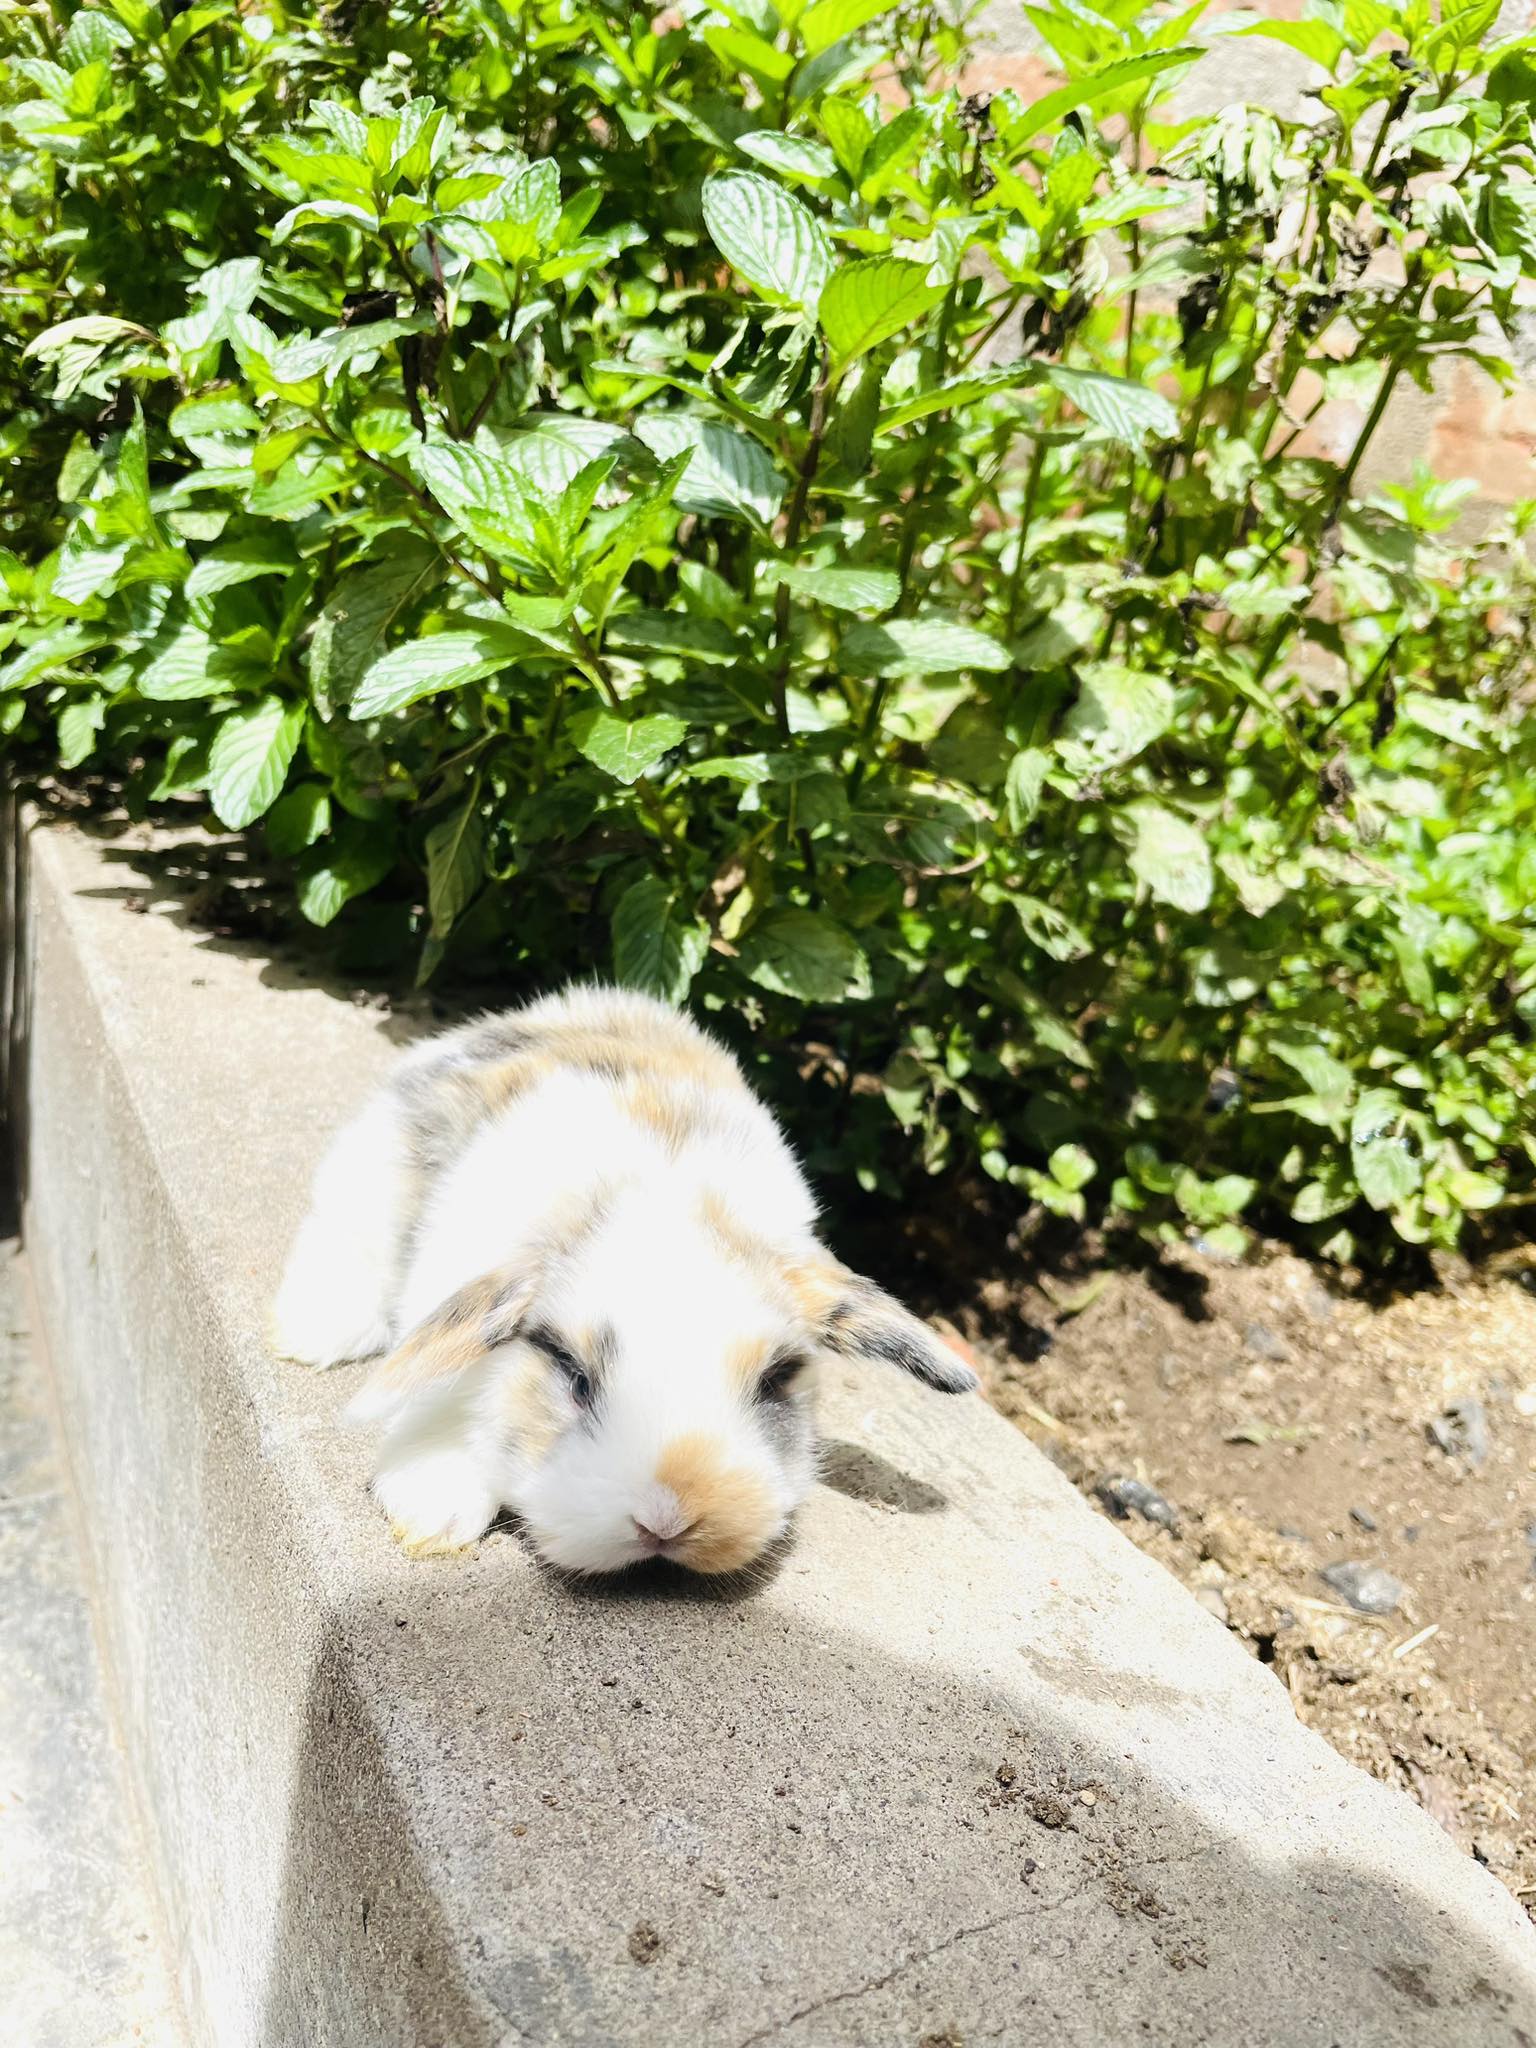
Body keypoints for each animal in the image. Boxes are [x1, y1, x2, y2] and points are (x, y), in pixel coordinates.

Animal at [272, 984, 977, 1575]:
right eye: (575, 1377)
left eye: (775, 1382)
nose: (666, 1520)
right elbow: (444, 1406)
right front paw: (431, 1512)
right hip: (379, 1165)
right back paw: (314, 1333)